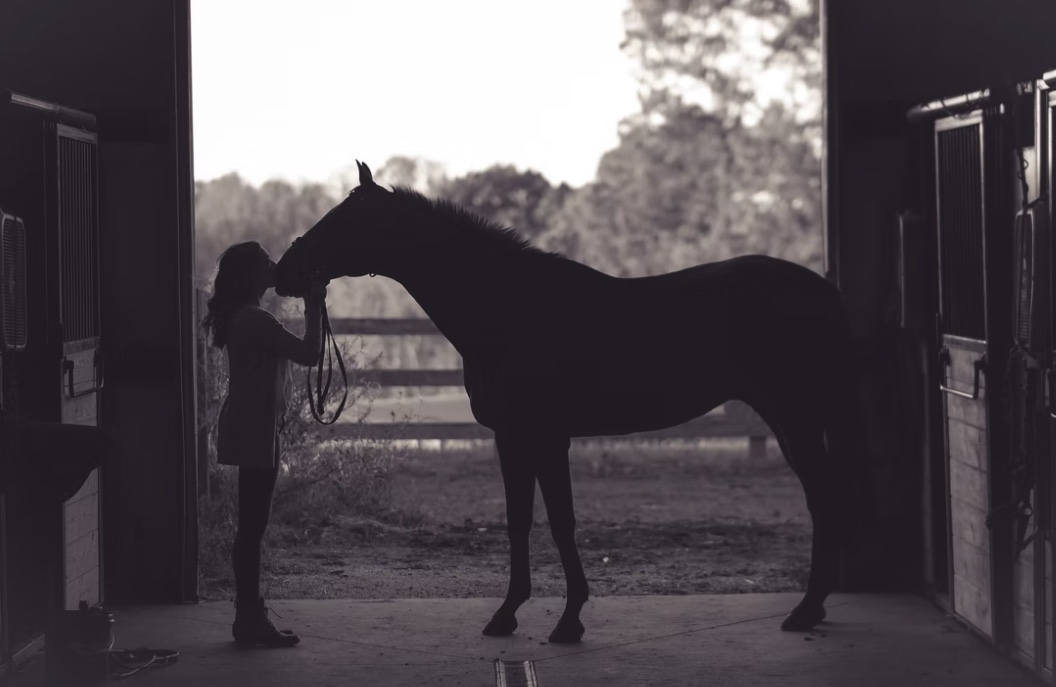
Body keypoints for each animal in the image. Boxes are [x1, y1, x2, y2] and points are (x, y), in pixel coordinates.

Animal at [276, 161, 861, 645]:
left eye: (344, 219)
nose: (285, 270)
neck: (509, 308)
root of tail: (825, 291)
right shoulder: (512, 438)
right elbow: (519, 521)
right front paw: (509, 614)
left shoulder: (545, 437)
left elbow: (560, 522)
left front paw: (568, 619)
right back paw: (813, 608)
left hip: (795, 417)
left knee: (824, 497)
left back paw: (806, 611)